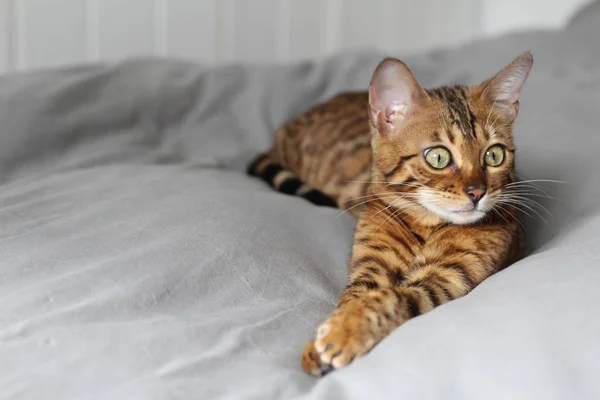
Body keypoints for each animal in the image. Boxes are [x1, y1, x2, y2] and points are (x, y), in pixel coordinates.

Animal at [248, 50, 536, 376]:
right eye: (438, 157)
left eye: (494, 154)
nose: (477, 192)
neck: (429, 225)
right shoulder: (371, 263)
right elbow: (354, 297)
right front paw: (325, 340)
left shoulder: (450, 276)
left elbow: (392, 298)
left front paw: (343, 332)